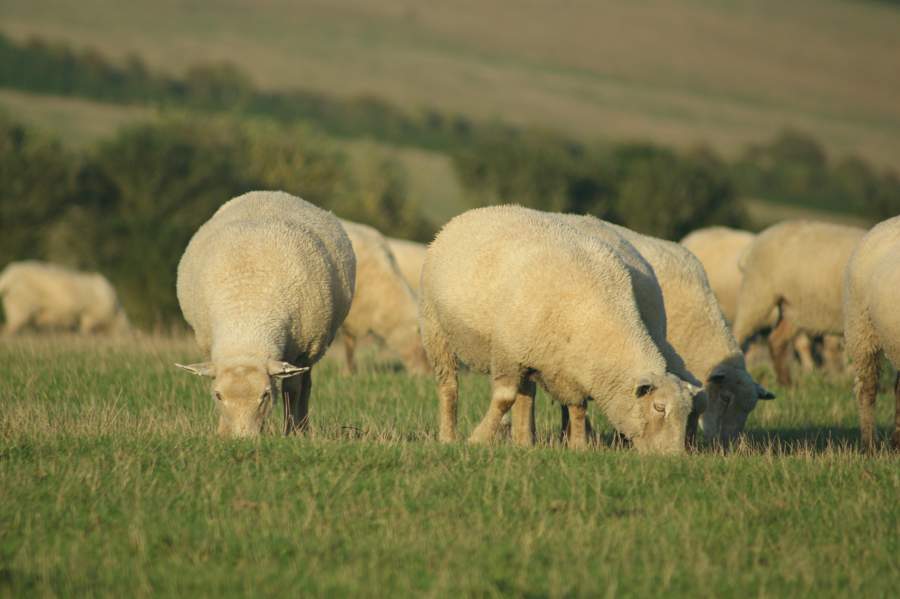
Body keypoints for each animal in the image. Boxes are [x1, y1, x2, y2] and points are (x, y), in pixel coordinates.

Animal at [0, 261, 130, 335]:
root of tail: (7, 276)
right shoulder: (90, 316)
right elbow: (85, 330)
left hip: (14, 305)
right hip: (21, 306)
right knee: (10, 328)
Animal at [175, 191, 355, 438]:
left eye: (265, 395)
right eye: (219, 396)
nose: (243, 439)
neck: (246, 317)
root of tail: (273, 193)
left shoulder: (300, 352)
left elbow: (292, 390)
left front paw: (291, 432)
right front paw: (222, 432)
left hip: (314, 349)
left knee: (305, 386)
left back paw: (302, 427)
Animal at [419, 205, 701, 454]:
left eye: (688, 413)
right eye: (659, 408)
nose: (673, 456)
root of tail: (468, 215)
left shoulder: (570, 368)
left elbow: (577, 408)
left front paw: (578, 446)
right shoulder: (507, 351)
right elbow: (504, 398)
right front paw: (478, 438)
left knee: (526, 395)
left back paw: (524, 441)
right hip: (435, 327)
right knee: (449, 385)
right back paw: (448, 436)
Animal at [732, 220, 866, 386]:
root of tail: (754, 243)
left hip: (793, 308)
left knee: (777, 340)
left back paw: (786, 384)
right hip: (757, 294)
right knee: (738, 333)